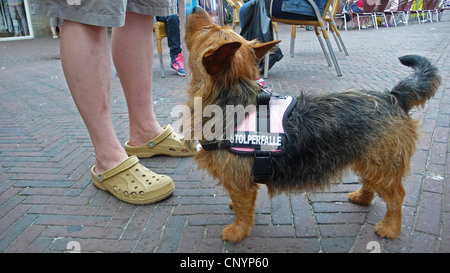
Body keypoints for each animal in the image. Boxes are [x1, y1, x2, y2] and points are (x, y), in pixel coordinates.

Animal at [185, 6, 442, 241]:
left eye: (210, 28)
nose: (196, 6)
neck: (232, 95)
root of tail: (393, 96)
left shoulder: (239, 181)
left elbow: (242, 207)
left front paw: (237, 231)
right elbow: (239, 202)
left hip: (383, 163)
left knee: (397, 196)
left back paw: (391, 227)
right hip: (369, 159)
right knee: (371, 182)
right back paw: (362, 197)